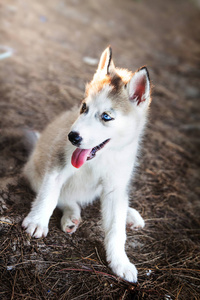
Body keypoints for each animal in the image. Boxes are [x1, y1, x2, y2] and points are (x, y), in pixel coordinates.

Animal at [22, 46, 152, 282]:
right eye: (84, 107)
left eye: (106, 117)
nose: (72, 137)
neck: (102, 156)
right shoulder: (57, 166)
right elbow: (49, 196)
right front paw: (37, 222)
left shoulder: (115, 186)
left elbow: (116, 228)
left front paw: (120, 262)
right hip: (36, 173)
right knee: (66, 199)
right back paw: (71, 217)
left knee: (117, 203)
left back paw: (129, 214)